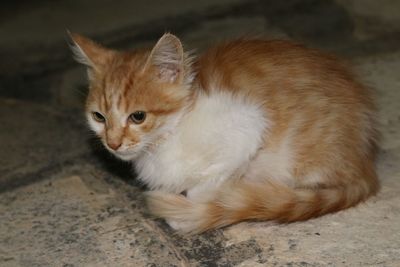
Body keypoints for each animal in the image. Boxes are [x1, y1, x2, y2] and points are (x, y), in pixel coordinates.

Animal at [70, 31, 380, 234]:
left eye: (138, 116)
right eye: (98, 117)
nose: (112, 143)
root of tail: (366, 161)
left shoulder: (247, 126)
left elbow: (205, 187)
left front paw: (196, 208)